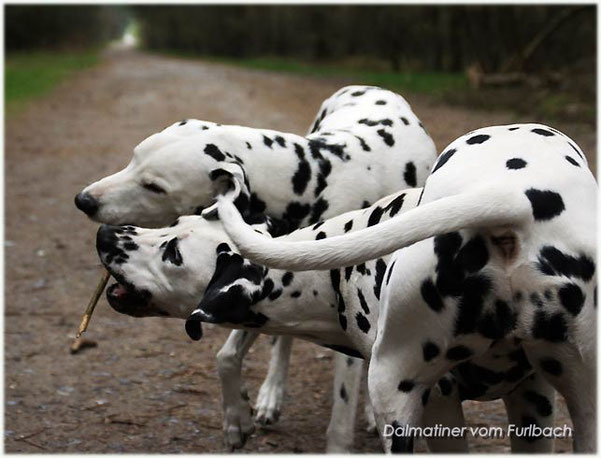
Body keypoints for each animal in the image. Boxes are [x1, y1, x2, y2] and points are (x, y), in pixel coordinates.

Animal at [77, 84, 438, 450]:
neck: (308, 182)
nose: (84, 200)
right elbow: (227, 358)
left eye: (154, 186)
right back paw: (271, 394)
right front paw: (236, 417)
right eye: (133, 157)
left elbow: (344, 402)